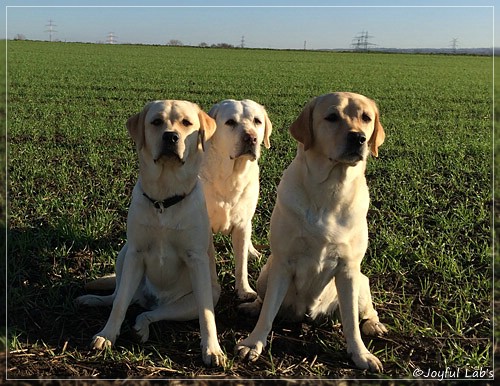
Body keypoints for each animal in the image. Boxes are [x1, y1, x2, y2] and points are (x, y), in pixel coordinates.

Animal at [200, 98, 274, 300]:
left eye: (257, 121)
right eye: (230, 122)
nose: (251, 138)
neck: (231, 175)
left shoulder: (242, 223)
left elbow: (241, 264)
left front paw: (245, 290)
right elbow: (209, 263)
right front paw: (212, 291)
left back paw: (253, 252)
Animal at [236, 92, 388, 370]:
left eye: (366, 118)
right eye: (332, 117)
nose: (358, 138)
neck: (329, 190)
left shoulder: (348, 269)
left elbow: (351, 322)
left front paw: (360, 354)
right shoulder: (282, 262)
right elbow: (267, 313)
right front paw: (253, 343)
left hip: (361, 281)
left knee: (365, 311)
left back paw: (374, 324)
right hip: (266, 273)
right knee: (264, 301)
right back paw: (252, 306)